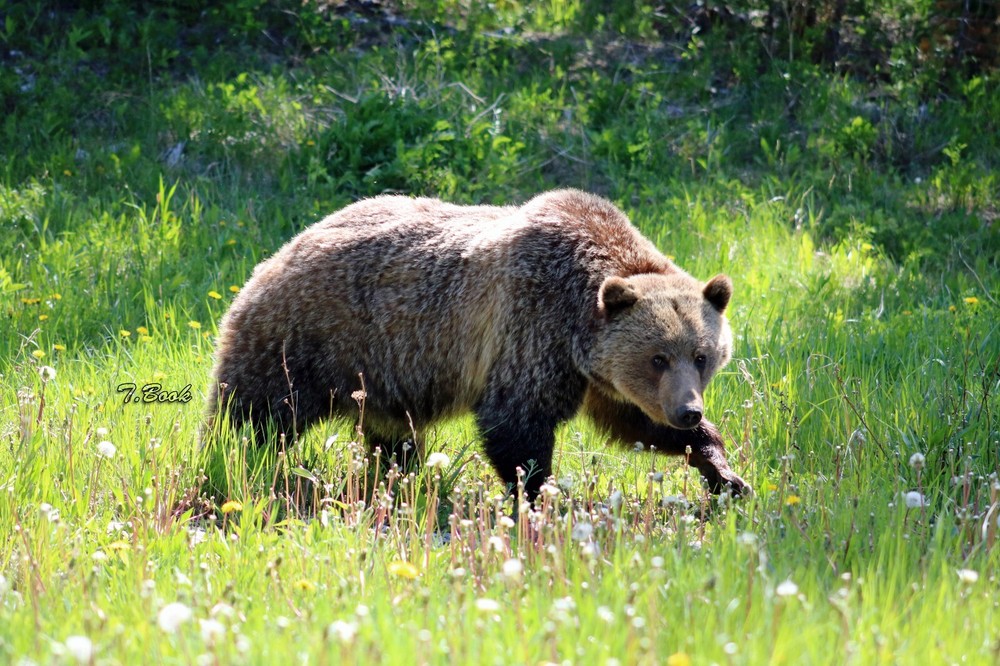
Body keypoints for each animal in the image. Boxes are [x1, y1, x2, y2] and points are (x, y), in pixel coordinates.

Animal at [206, 189, 750, 501]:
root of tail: (278, 252)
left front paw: (724, 473)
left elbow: (632, 422)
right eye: (658, 357)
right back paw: (232, 457)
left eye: (702, 356)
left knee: (393, 436)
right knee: (253, 412)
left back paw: (399, 477)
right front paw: (537, 495)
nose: (689, 412)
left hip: (382, 378)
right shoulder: (531, 327)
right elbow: (516, 424)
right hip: (308, 338)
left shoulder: (594, 374)